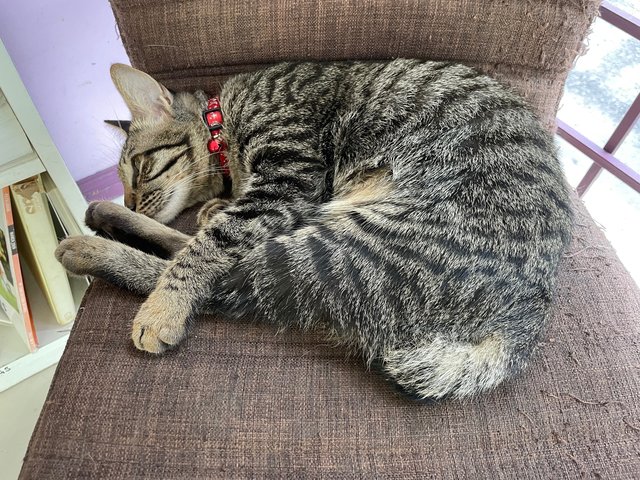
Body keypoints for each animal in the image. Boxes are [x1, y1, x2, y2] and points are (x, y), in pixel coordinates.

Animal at [56, 58, 576, 400]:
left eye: (139, 170)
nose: (129, 199)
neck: (224, 121)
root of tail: (526, 317)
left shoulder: (289, 179)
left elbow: (207, 248)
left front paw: (163, 308)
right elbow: (210, 228)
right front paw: (207, 207)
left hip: (339, 248)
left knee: (226, 282)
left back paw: (90, 249)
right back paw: (101, 218)